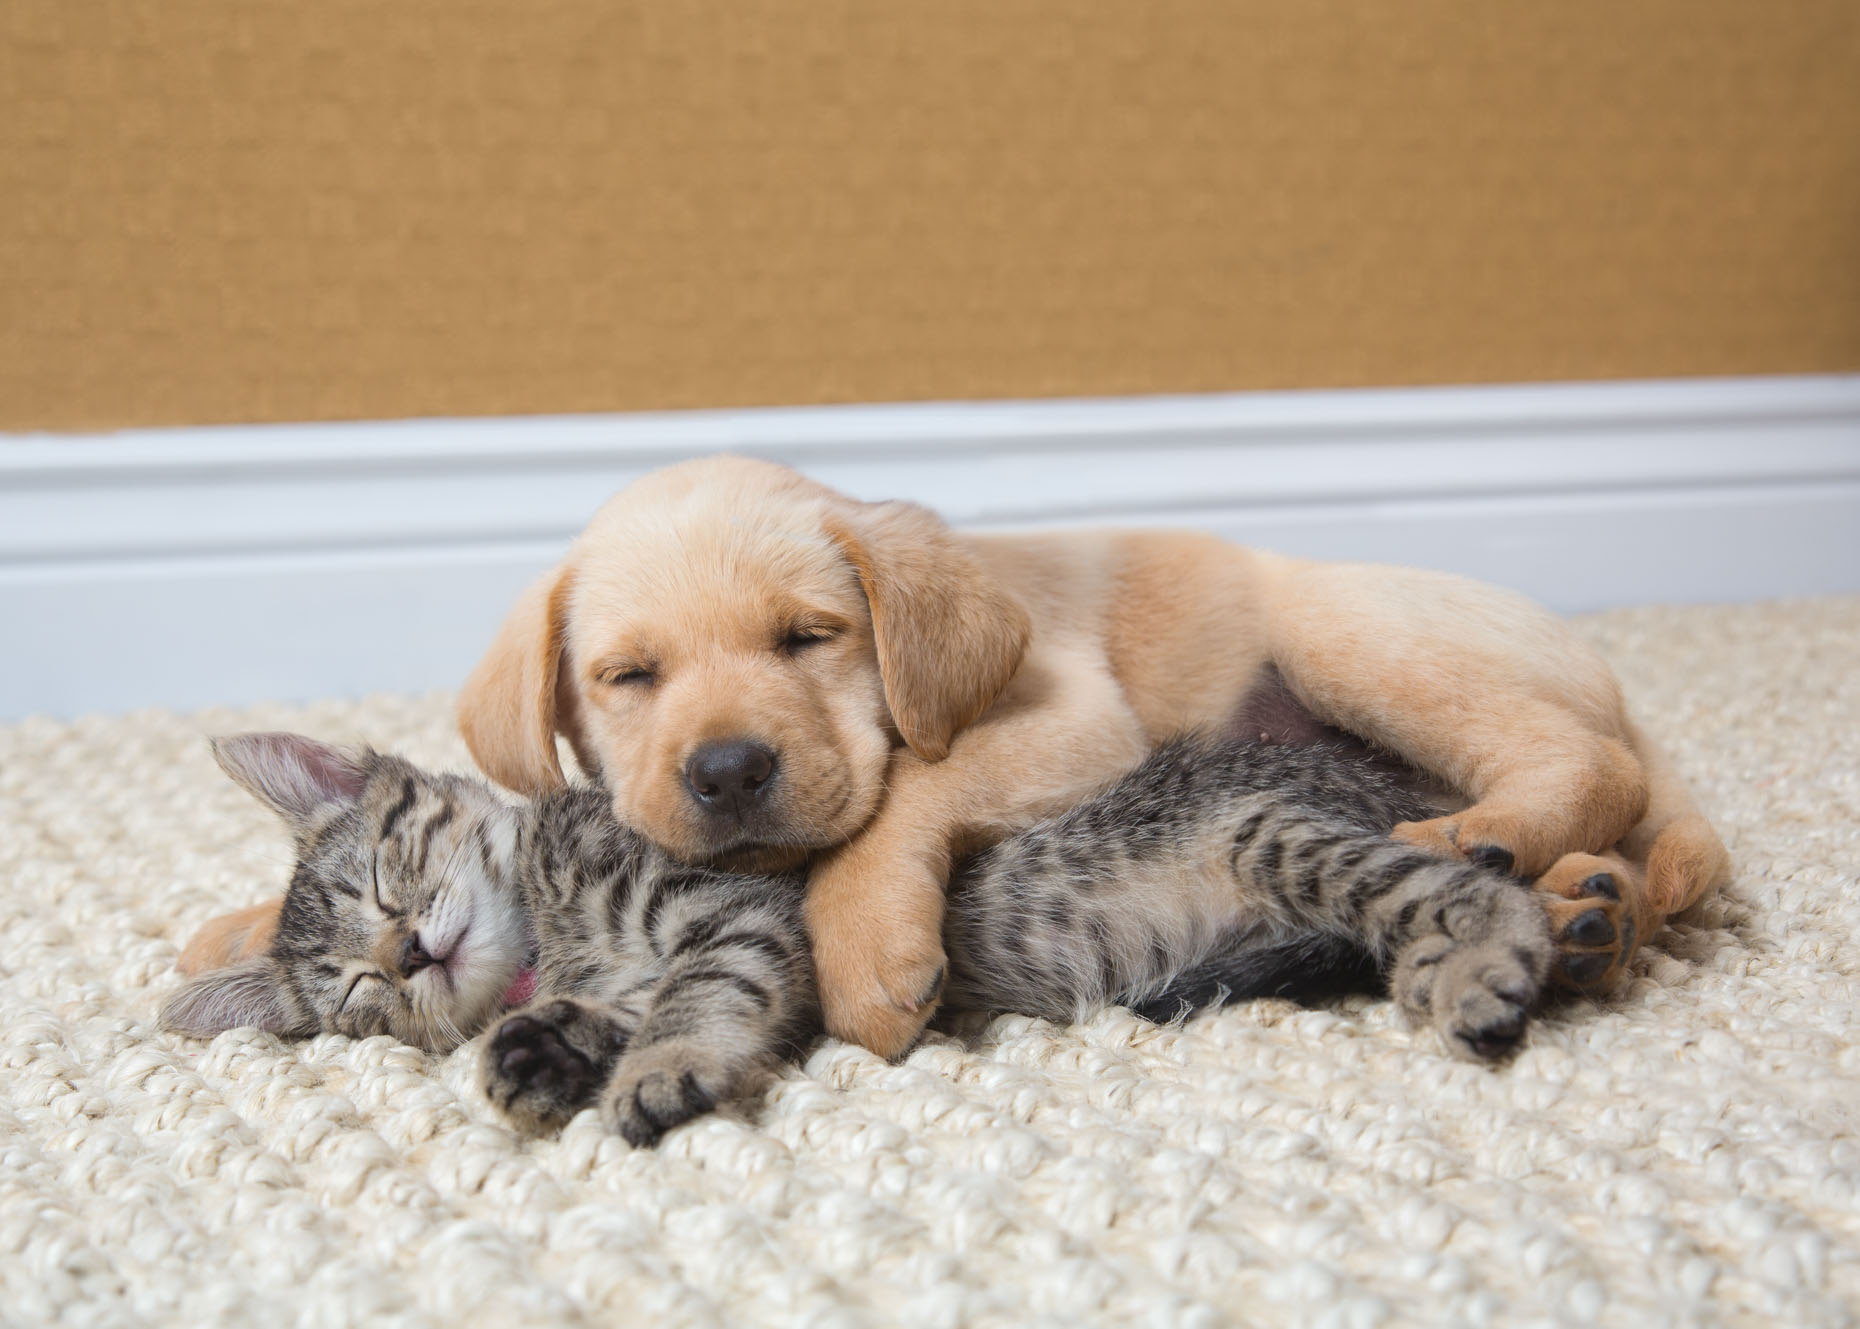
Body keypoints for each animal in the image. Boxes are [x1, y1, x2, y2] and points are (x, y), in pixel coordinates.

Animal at [163, 732, 1614, 1152]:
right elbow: (609, 1011)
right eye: (356, 993)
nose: (410, 958)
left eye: (385, 875)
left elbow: (695, 999)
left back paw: (1490, 958)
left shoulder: (738, 919)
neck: (555, 930)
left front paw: (654, 1072)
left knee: (1468, 888)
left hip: (1270, 829)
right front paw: (539, 1053)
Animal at [181, 457, 1733, 1063]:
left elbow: (903, 793)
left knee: (1580, 766)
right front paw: (228, 928)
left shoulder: (1070, 718)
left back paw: (1495, 840)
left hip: (1345, 634)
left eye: (810, 638)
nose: (726, 771)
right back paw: (1588, 904)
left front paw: (867, 950)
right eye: (627, 678)